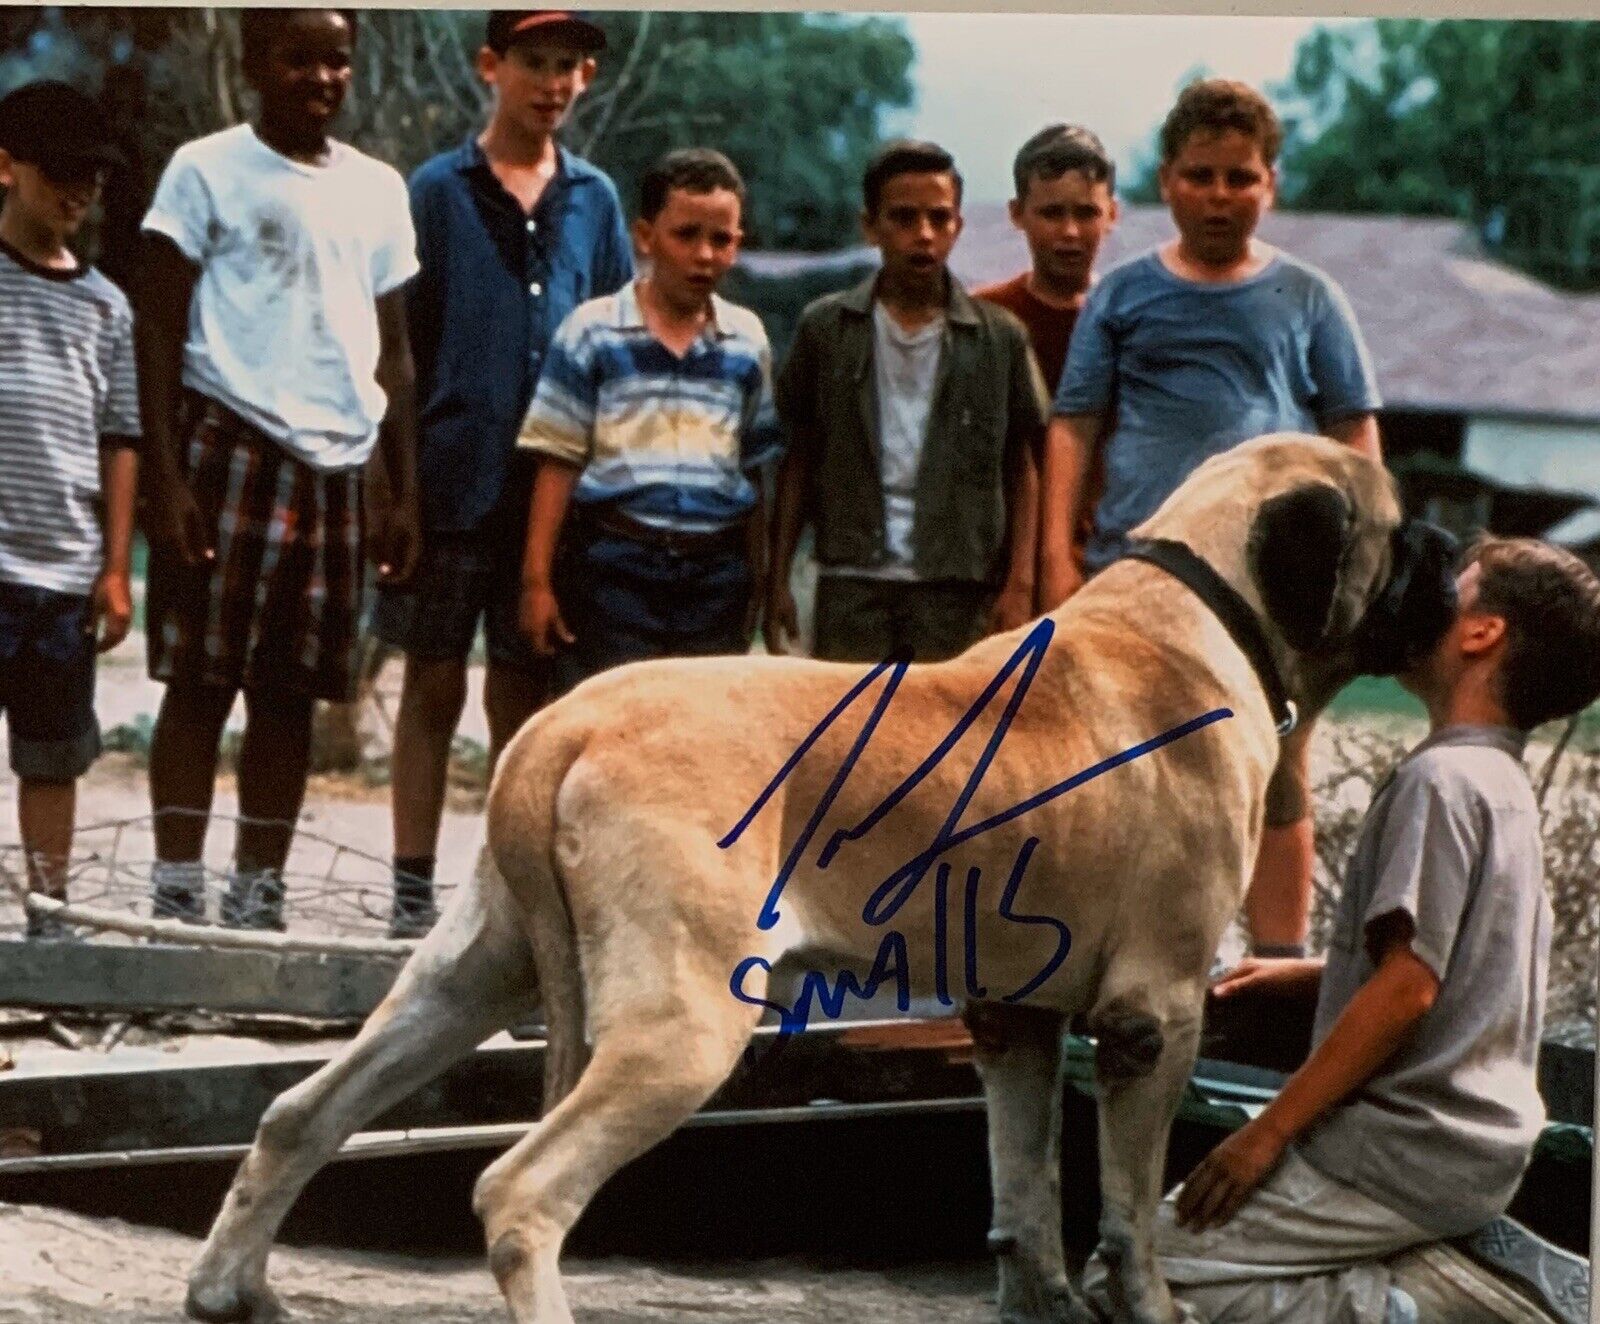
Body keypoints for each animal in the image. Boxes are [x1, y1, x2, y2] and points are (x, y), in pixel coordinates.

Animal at [190, 438, 1452, 1324]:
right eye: (1399, 533)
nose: (1459, 548)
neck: (1198, 610)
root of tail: (563, 725)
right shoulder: (1157, 1018)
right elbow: (1132, 1214)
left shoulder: (1014, 1019)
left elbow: (1025, 1189)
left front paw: (1038, 1299)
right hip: (684, 1029)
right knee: (520, 1190)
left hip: (469, 974)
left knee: (300, 1113)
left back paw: (230, 1288)